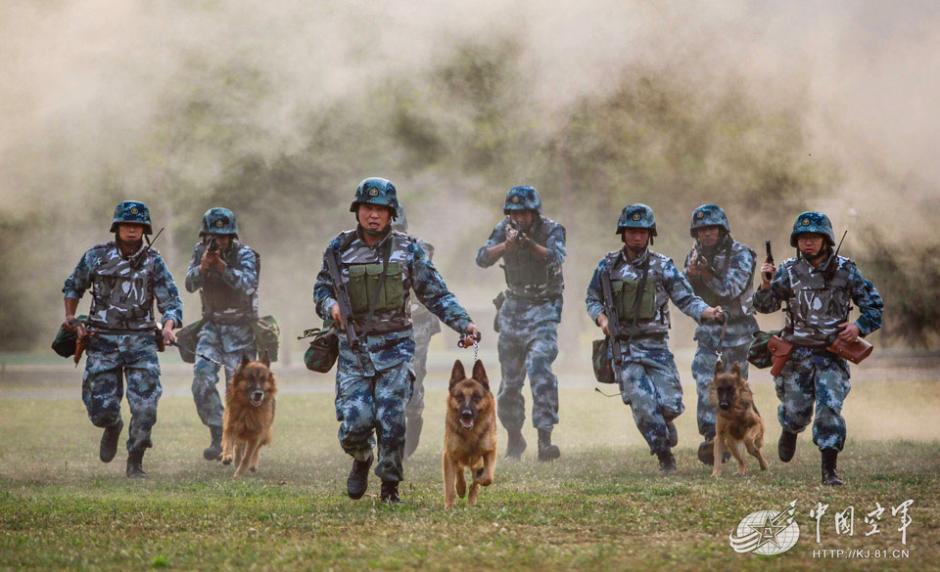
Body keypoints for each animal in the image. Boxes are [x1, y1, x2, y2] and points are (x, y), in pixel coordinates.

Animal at [442, 360, 496, 508]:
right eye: (459, 396)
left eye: (476, 397)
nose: (467, 414)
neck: (470, 434)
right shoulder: (449, 455)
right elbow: (450, 486)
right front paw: (449, 506)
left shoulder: (490, 451)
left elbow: (487, 477)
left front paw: (480, 479)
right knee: (459, 471)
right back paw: (461, 488)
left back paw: (471, 500)